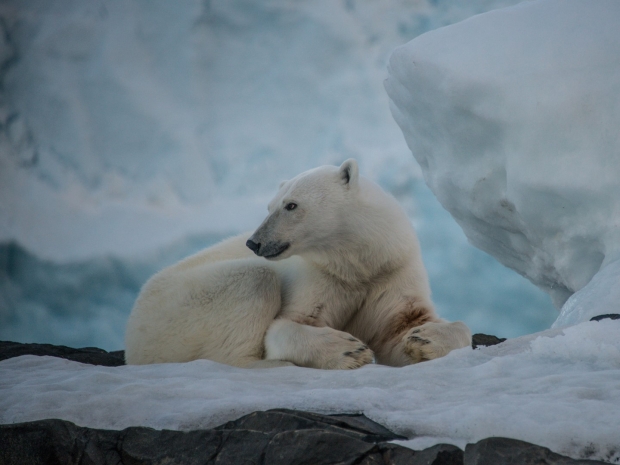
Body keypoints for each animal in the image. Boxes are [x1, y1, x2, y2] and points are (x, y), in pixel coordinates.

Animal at [126, 161, 470, 368]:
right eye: (269, 206)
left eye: (291, 205)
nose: (254, 242)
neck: (359, 262)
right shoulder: (321, 275)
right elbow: (288, 324)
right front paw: (349, 350)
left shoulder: (392, 270)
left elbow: (400, 327)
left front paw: (423, 338)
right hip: (174, 311)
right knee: (253, 281)